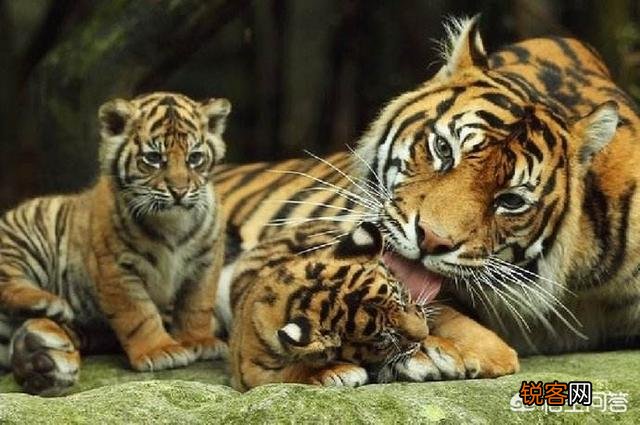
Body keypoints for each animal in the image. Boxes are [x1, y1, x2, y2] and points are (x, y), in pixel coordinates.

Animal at [0, 92, 230, 395]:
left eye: (195, 158)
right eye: (153, 158)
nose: (179, 191)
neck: (171, 223)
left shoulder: (206, 262)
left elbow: (197, 305)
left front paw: (199, 342)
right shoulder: (116, 269)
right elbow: (139, 315)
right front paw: (160, 351)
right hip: (26, 237)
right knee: (7, 280)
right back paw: (48, 303)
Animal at [225, 220, 517, 391]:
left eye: (403, 299)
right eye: (383, 339)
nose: (422, 336)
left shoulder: (420, 304)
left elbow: (449, 318)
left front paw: (497, 357)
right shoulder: (252, 370)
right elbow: (292, 370)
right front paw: (337, 371)